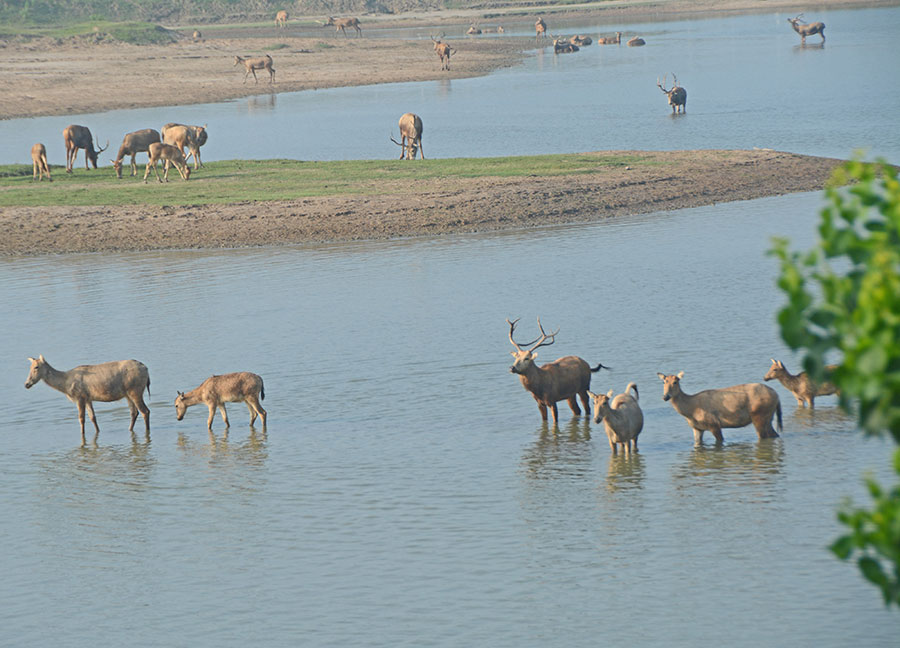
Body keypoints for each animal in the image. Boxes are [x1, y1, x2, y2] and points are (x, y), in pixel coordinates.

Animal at [23, 354, 151, 440]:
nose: (26, 384)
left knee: (145, 411)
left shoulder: (79, 396)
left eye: (36, 367)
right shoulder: (88, 398)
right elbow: (93, 417)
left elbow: (81, 418)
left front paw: (82, 436)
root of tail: (146, 369)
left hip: (135, 390)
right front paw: (98, 431)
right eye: (29, 367)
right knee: (134, 412)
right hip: (127, 394)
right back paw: (129, 429)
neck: (65, 385)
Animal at [656, 372, 784, 442]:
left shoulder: (714, 424)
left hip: (759, 415)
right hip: (768, 417)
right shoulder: (697, 428)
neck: (691, 411)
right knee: (775, 434)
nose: (665, 396)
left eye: (675, 382)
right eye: (664, 382)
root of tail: (777, 396)